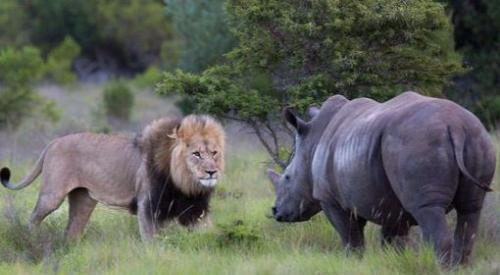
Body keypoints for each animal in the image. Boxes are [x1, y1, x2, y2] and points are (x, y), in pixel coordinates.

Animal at [0, 115, 225, 240]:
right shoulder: (148, 206)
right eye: (196, 154)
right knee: (33, 218)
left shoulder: (195, 209)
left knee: (71, 232)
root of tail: (54, 141)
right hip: (52, 195)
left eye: (214, 153)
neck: (184, 183)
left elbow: (209, 233)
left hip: (83, 200)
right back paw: (30, 240)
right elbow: (152, 241)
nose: (212, 172)